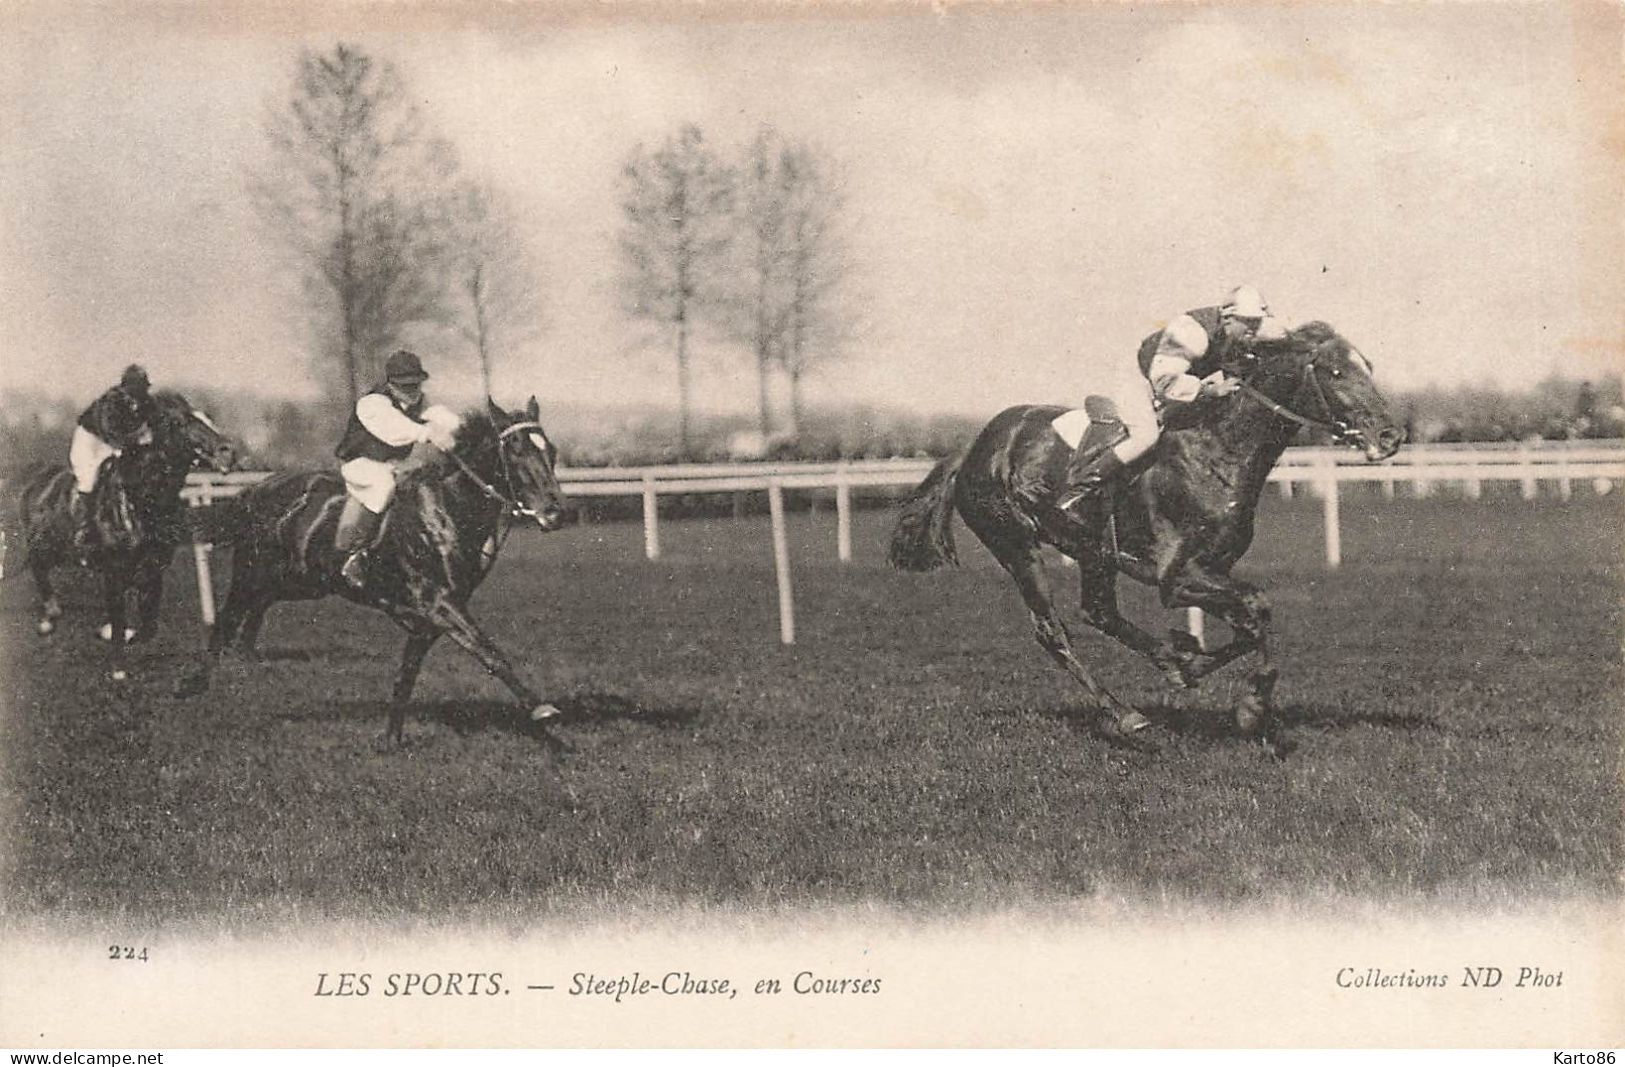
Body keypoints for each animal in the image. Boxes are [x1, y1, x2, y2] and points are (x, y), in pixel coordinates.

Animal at [16, 389, 237, 675]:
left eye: (207, 417)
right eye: (178, 423)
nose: (227, 452)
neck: (141, 502)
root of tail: (35, 479)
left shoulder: (153, 572)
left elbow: (148, 627)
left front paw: (115, 633)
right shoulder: (113, 572)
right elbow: (119, 622)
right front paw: (118, 667)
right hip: (43, 545)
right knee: (38, 567)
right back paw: (49, 617)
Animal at [884, 318, 1404, 750]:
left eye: (1368, 365)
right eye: (1335, 372)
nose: (1391, 436)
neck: (1219, 451)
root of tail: (972, 449)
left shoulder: (1214, 570)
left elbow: (1249, 623)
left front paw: (1189, 661)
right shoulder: (1177, 577)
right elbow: (1257, 607)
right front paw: (1250, 708)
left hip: (1091, 549)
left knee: (1099, 612)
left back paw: (1165, 661)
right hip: (1016, 545)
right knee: (1054, 632)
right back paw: (1126, 715)